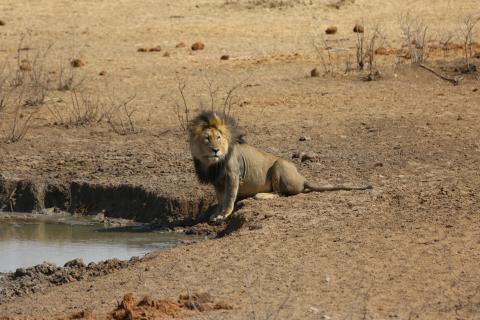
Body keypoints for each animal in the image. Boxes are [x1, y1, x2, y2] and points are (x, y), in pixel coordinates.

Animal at [188, 111, 372, 224]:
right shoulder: (217, 181)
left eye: (218, 137)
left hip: (279, 164)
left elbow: (229, 197)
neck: (212, 163)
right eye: (207, 138)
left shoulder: (233, 175)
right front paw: (216, 213)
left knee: (279, 193)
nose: (215, 150)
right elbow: (220, 199)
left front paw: (224, 214)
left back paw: (260, 195)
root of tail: (302, 178)